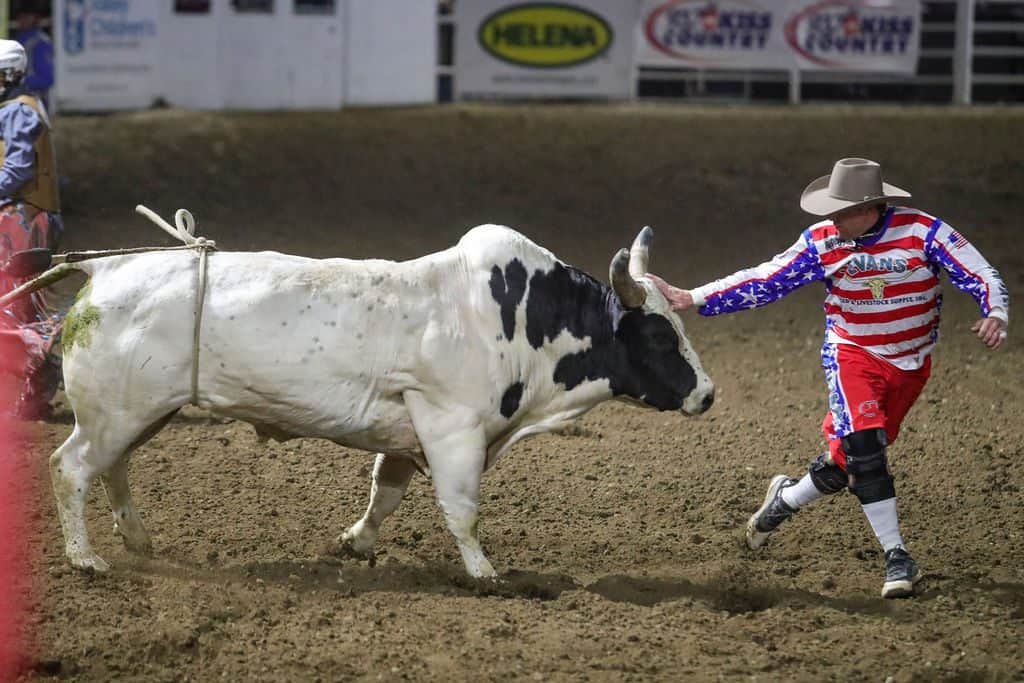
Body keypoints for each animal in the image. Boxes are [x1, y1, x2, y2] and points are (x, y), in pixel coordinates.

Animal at [6, 224, 712, 577]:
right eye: (658, 334)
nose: (707, 394)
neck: (515, 319)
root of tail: (105, 269)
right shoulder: (452, 428)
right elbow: (463, 510)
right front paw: (485, 573)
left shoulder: (409, 430)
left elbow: (387, 492)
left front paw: (356, 544)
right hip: (115, 413)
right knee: (70, 469)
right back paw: (86, 558)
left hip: (139, 412)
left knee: (113, 467)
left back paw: (136, 536)